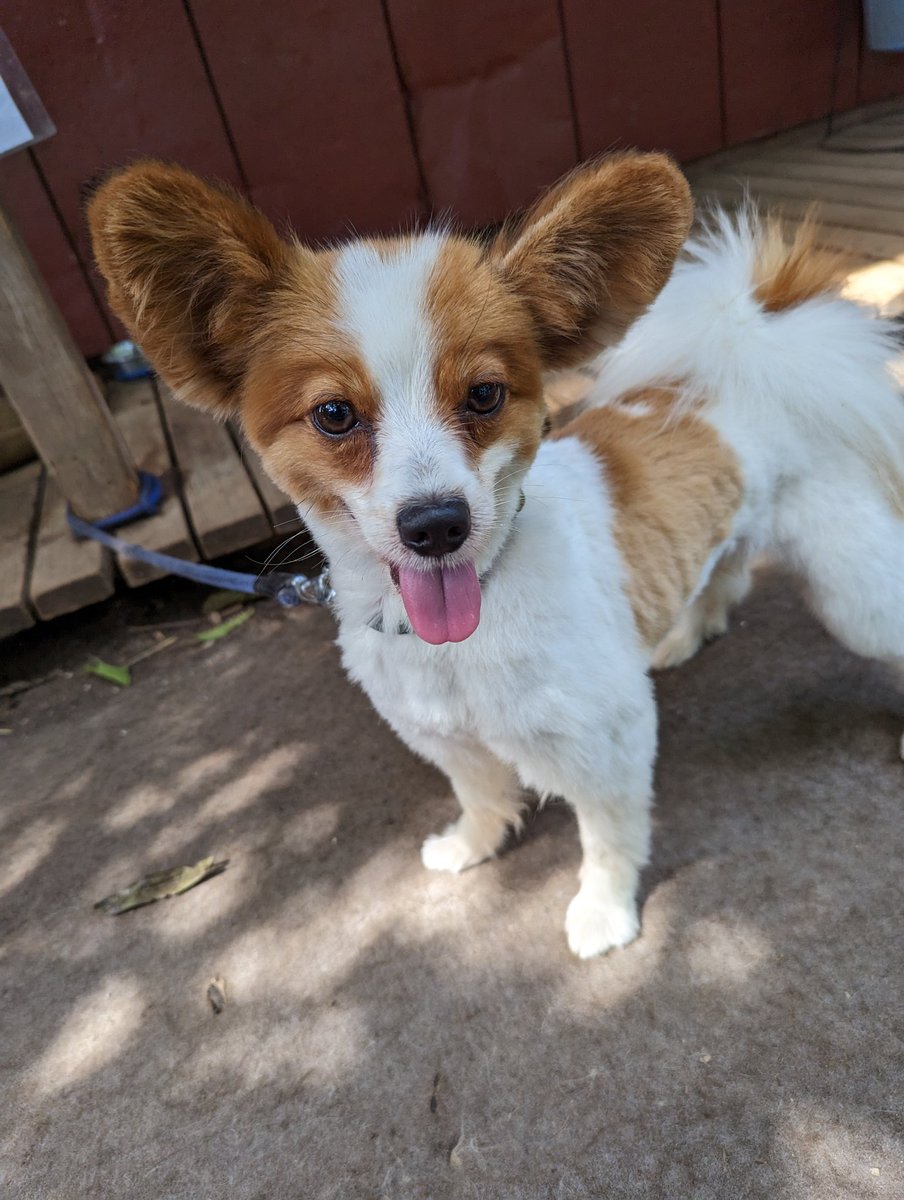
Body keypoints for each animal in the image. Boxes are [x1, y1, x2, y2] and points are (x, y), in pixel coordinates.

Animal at [86, 157, 902, 955]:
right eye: (334, 414)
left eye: (484, 394)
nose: (436, 525)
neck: (458, 642)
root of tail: (750, 351)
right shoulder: (445, 737)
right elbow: (480, 796)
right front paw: (475, 844)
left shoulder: (608, 741)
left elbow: (609, 839)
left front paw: (604, 913)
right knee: (723, 575)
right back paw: (685, 632)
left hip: (852, 596)